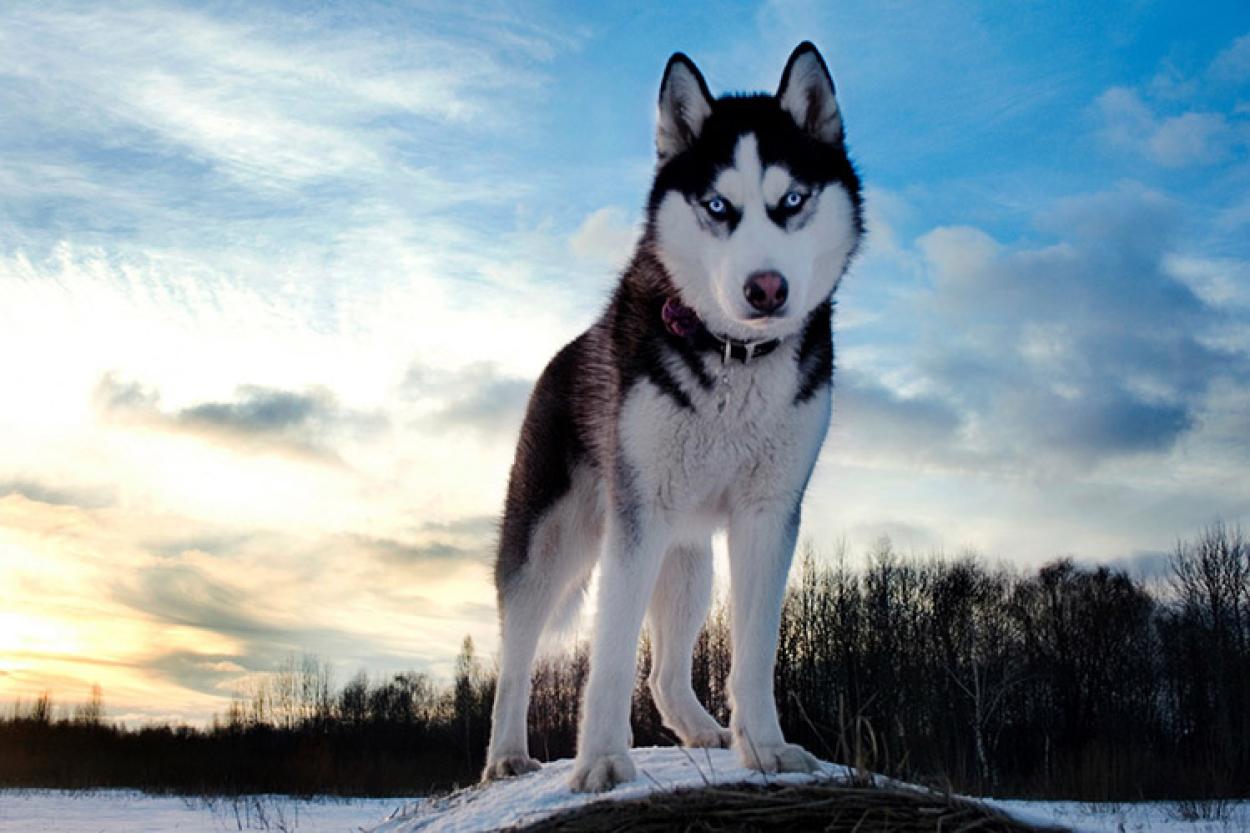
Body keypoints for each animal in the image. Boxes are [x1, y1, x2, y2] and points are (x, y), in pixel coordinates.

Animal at [482, 40, 865, 790]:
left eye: (792, 201)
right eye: (718, 205)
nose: (767, 288)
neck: (733, 357)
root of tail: (561, 355)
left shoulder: (768, 514)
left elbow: (754, 650)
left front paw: (766, 748)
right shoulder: (637, 519)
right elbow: (607, 656)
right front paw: (602, 758)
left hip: (687, 560)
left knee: (662, 671)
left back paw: (700, 730)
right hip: (551, 544)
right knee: (516, 656)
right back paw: (507, 754)